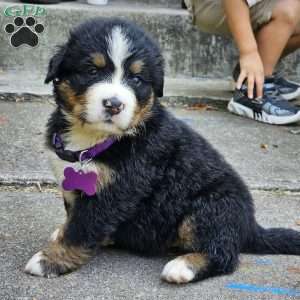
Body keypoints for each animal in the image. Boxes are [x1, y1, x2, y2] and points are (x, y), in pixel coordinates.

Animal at [24, 17, 300, 282]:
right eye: (92, 71)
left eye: (136, 79)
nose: (114, 104)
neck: (95, 138)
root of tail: (250, 225)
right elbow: (75, 217)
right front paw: (62, 234)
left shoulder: (116, 190)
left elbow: (82, 228)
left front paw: (50, 260)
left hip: (211, 207)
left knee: (225, 255)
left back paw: (184, 266)